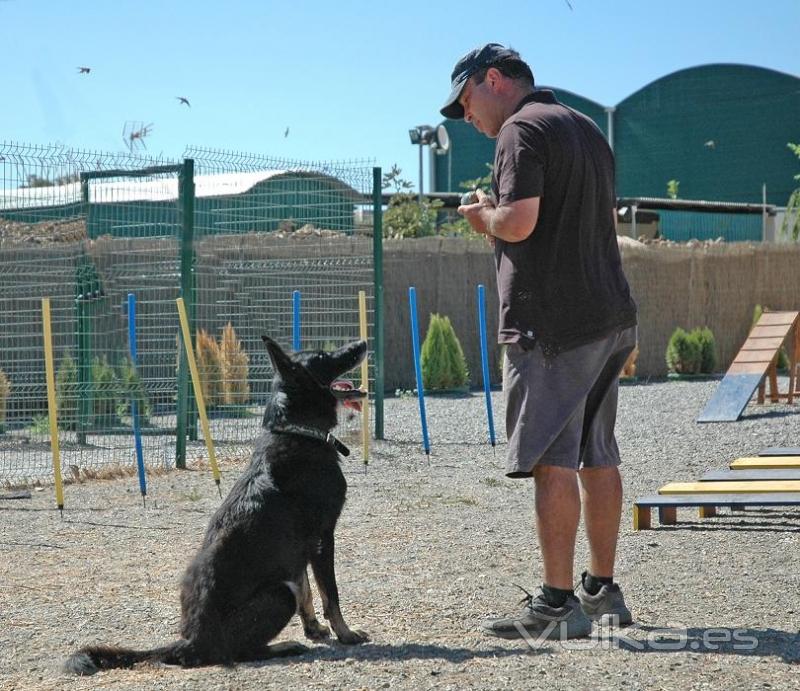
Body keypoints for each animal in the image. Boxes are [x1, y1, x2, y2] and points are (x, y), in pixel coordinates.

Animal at [64, 338, 370, 672]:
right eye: (325, 356)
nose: (363, 343)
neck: (298, 430)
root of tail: (191, 642)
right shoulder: (322, 539)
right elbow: (330, 594)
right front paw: (345, 633)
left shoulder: (296, 551)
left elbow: (306, 591)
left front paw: (314, 628)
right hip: (279, 594)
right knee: (239, 652)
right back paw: (282, 646)